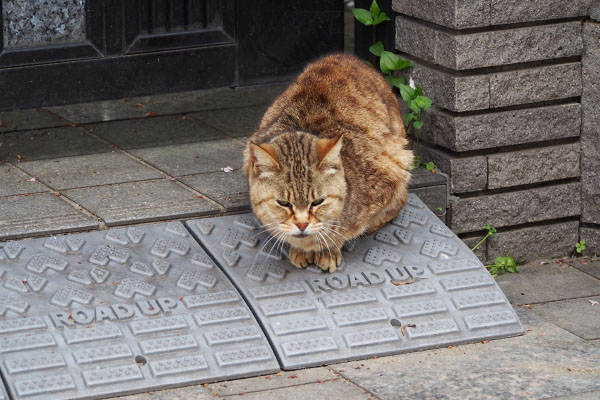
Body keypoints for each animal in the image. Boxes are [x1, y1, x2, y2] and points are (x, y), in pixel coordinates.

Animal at [244, 52, 412, 272]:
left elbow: (341, 231)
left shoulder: (389, 174)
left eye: (318, 202)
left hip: (402, 158)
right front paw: (300, 248)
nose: (302, 225)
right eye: (283, 203)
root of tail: (346, 56)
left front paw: (328, 249)